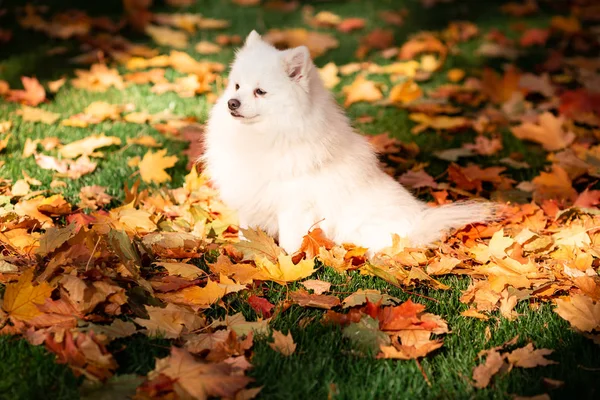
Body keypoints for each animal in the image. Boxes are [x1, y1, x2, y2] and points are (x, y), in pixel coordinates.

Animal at [204, 32, 494, 256]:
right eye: (237, 86)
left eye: (260, 92)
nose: (232, 103)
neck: (264, 136)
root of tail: (420, 222)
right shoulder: (250, 196)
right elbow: (247, 230)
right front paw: (246, 251)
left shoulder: (294, 205)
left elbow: (290, 240)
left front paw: (287, 261)